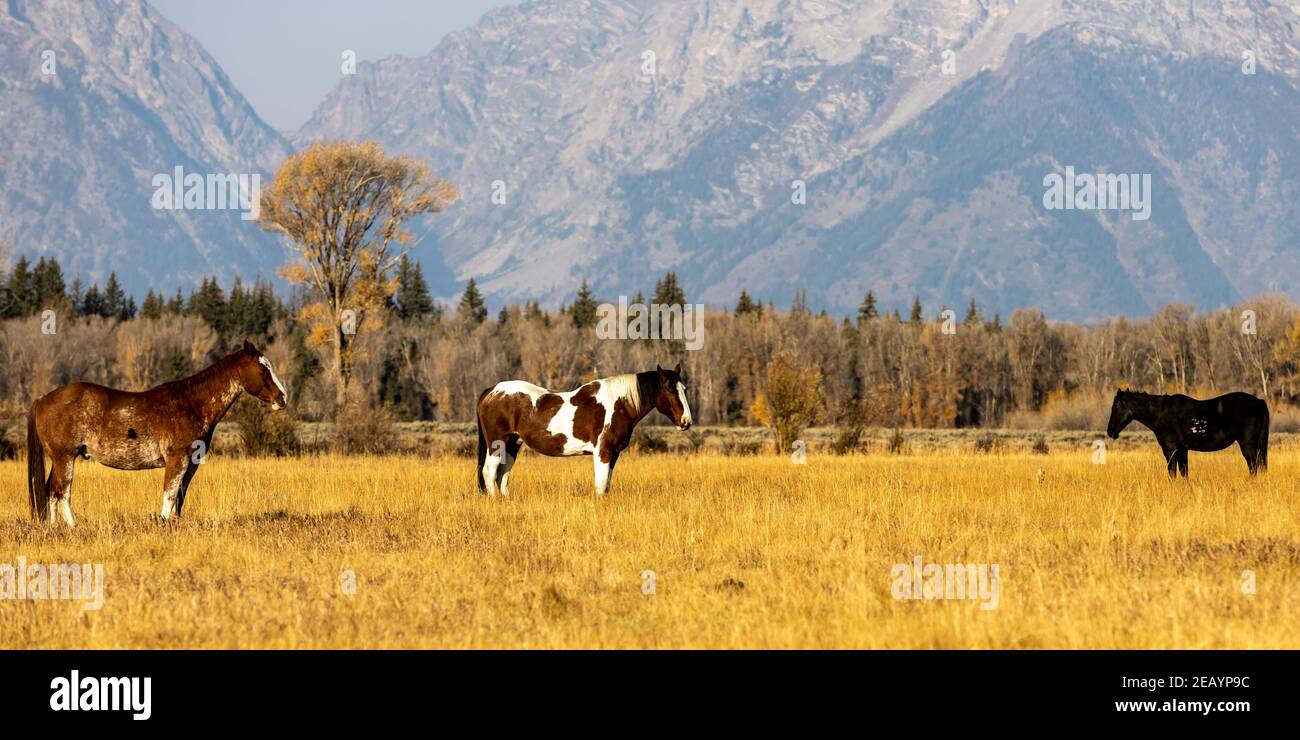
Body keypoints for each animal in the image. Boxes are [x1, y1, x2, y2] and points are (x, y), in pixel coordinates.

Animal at [27, 340, 287, 525]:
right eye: (263, 368)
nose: (282, 398)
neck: (191, 403)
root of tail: (43, 399)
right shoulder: (176, 460)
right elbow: (169, 496)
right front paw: (163, 524)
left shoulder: (190, 465)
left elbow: (179, 497)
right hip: (65, 458)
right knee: (62, 492)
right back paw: (73, 526)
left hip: (59, 459)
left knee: (51, 491)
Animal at [478, 364, 696, 496]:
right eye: (670, 388)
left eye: (684, 389)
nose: (686, 421)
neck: (618, 404)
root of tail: (492, 391)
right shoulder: (603, 451)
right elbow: (600, 485)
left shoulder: (614, 454)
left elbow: (606, 485)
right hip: (497, 443)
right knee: (489, 472)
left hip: (512, 445)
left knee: (503, 475)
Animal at [1107, 390, 1268, 475]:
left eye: (1116, 405)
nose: (1110, 431)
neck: (1161, 413)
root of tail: (1259, 401)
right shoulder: (1183, 450)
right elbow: (1184, 473)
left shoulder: (1170, 450)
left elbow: (1172, 473)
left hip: (1247, 445)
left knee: (1253, 467)